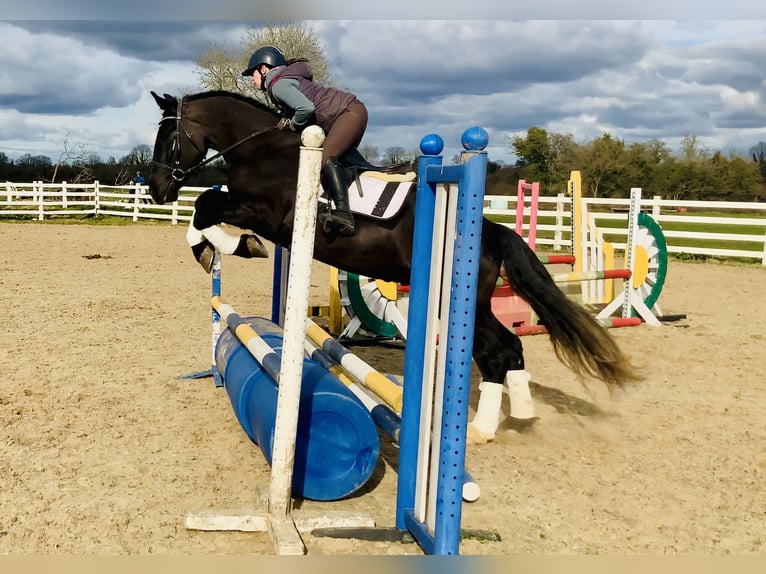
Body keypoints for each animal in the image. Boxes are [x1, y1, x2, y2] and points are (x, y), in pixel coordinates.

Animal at [148, 89, 640, 440]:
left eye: (168, 139)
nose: (155, 190)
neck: (263, 150)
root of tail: (490, 231)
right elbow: (206, 209)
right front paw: (217, 248)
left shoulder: (266, 214)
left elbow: (205, 208)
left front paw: (229, 246)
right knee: (509, 349)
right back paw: (518, 415)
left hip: (461, 301)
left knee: (499, 350)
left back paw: (481, 429)